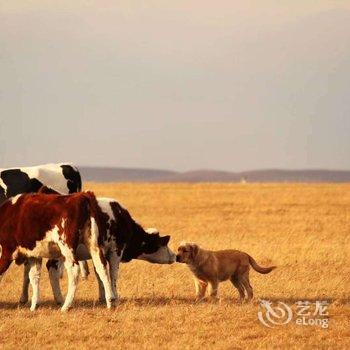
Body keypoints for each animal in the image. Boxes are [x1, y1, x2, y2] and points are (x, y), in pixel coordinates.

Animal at [0, 190, 175, 310]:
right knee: (63, 269)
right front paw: (112, 297)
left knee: (68, 270)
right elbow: (111, 275)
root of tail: (83, 197)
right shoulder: (114, 251)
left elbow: (104, 274)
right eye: (163, 243)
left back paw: (64, 303)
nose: (175, 256)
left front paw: (108, 297)